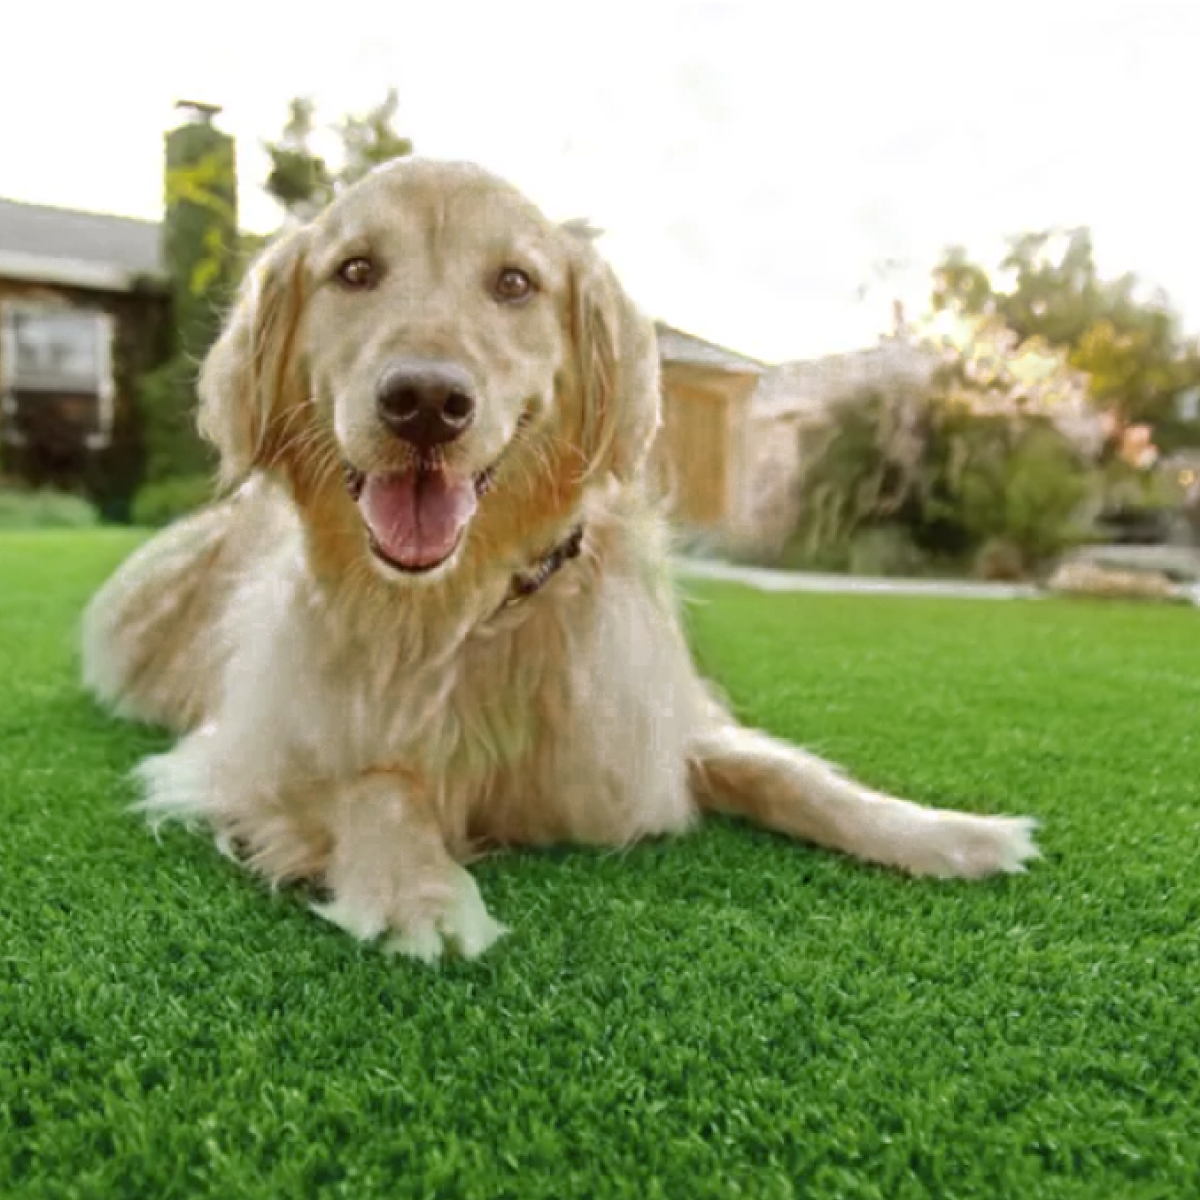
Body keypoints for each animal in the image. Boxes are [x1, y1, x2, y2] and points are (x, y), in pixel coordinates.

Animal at [84, 162, 1041, 964]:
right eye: (355, 271)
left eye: (515, 282)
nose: (425, 402)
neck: (462, 612)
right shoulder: (247, 753)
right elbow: (378, 779)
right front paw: (418, 890)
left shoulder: (649, 731)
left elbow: (789, 773)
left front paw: (943, 833)